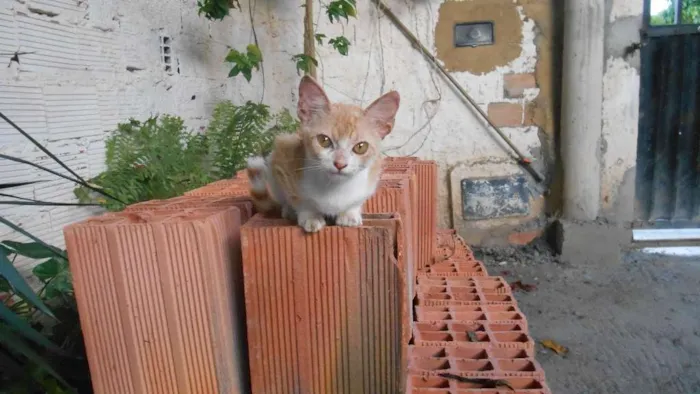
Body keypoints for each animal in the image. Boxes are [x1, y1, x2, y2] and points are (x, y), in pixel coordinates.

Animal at [246, 75, 400, 232]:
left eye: (361, 147)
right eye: (324, 140)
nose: (340, 163)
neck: (334, 188)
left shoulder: (373, 175)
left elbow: (357, 200)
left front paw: (349, 214)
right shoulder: (284, 158)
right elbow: (298, 198)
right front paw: (310, 216)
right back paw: (288, 210)